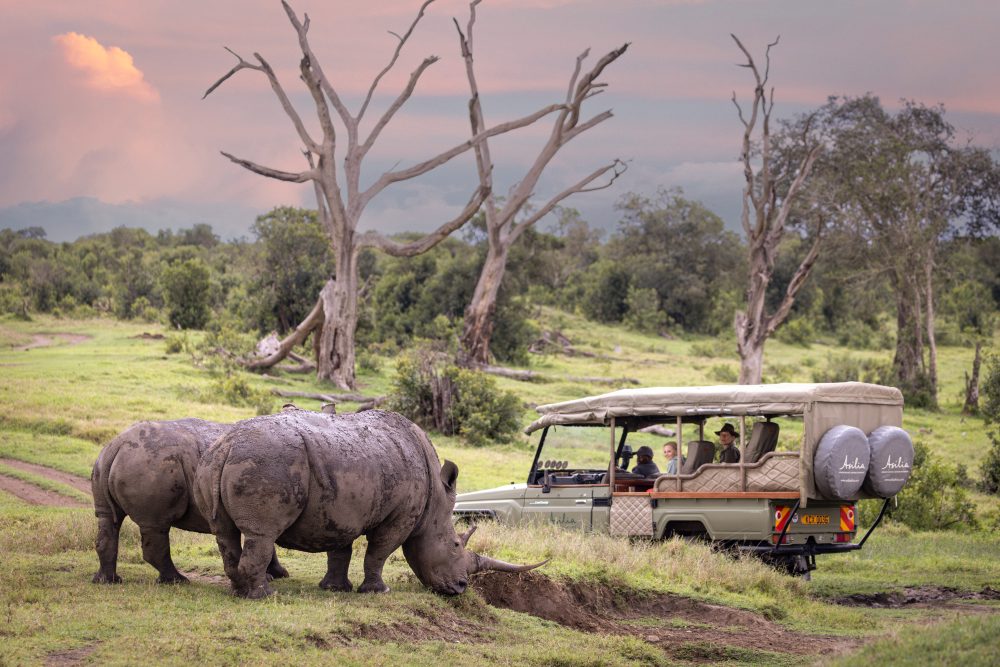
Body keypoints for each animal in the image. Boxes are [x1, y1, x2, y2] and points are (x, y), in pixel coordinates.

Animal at [91, 419, 289, 584]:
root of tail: (118, 445)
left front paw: (278, 574)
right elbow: (266, 539)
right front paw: (273, 576)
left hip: (107, 462)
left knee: (108, 518)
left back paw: (107, 581)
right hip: (151, 464)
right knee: (156, 525)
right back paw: (177, 581)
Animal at [193, 408, 542, 598]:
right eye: (456, 545)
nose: (460, 587)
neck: (435, 502)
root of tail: (227, 445)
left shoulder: (338, 509)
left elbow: (340, 550)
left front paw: (334, 588)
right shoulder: (401, 516)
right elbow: (379, 552)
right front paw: (379, 591)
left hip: (213, 462)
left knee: (224, 532)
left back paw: (239, 591)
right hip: (268, 462)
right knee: (262, 534)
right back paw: (263, 595)